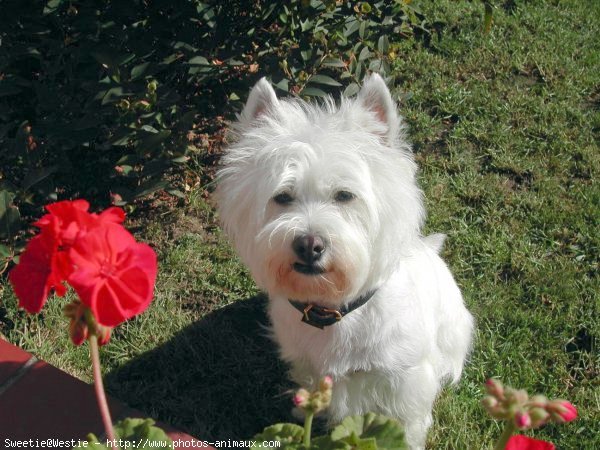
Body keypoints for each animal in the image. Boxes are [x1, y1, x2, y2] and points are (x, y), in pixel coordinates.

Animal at [216, 74, 474, 446]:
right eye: (282, 197)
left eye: (344, 195)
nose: (309, 245)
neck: (334, 309)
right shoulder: (307, 363)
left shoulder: (403, 377)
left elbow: (407, 422)